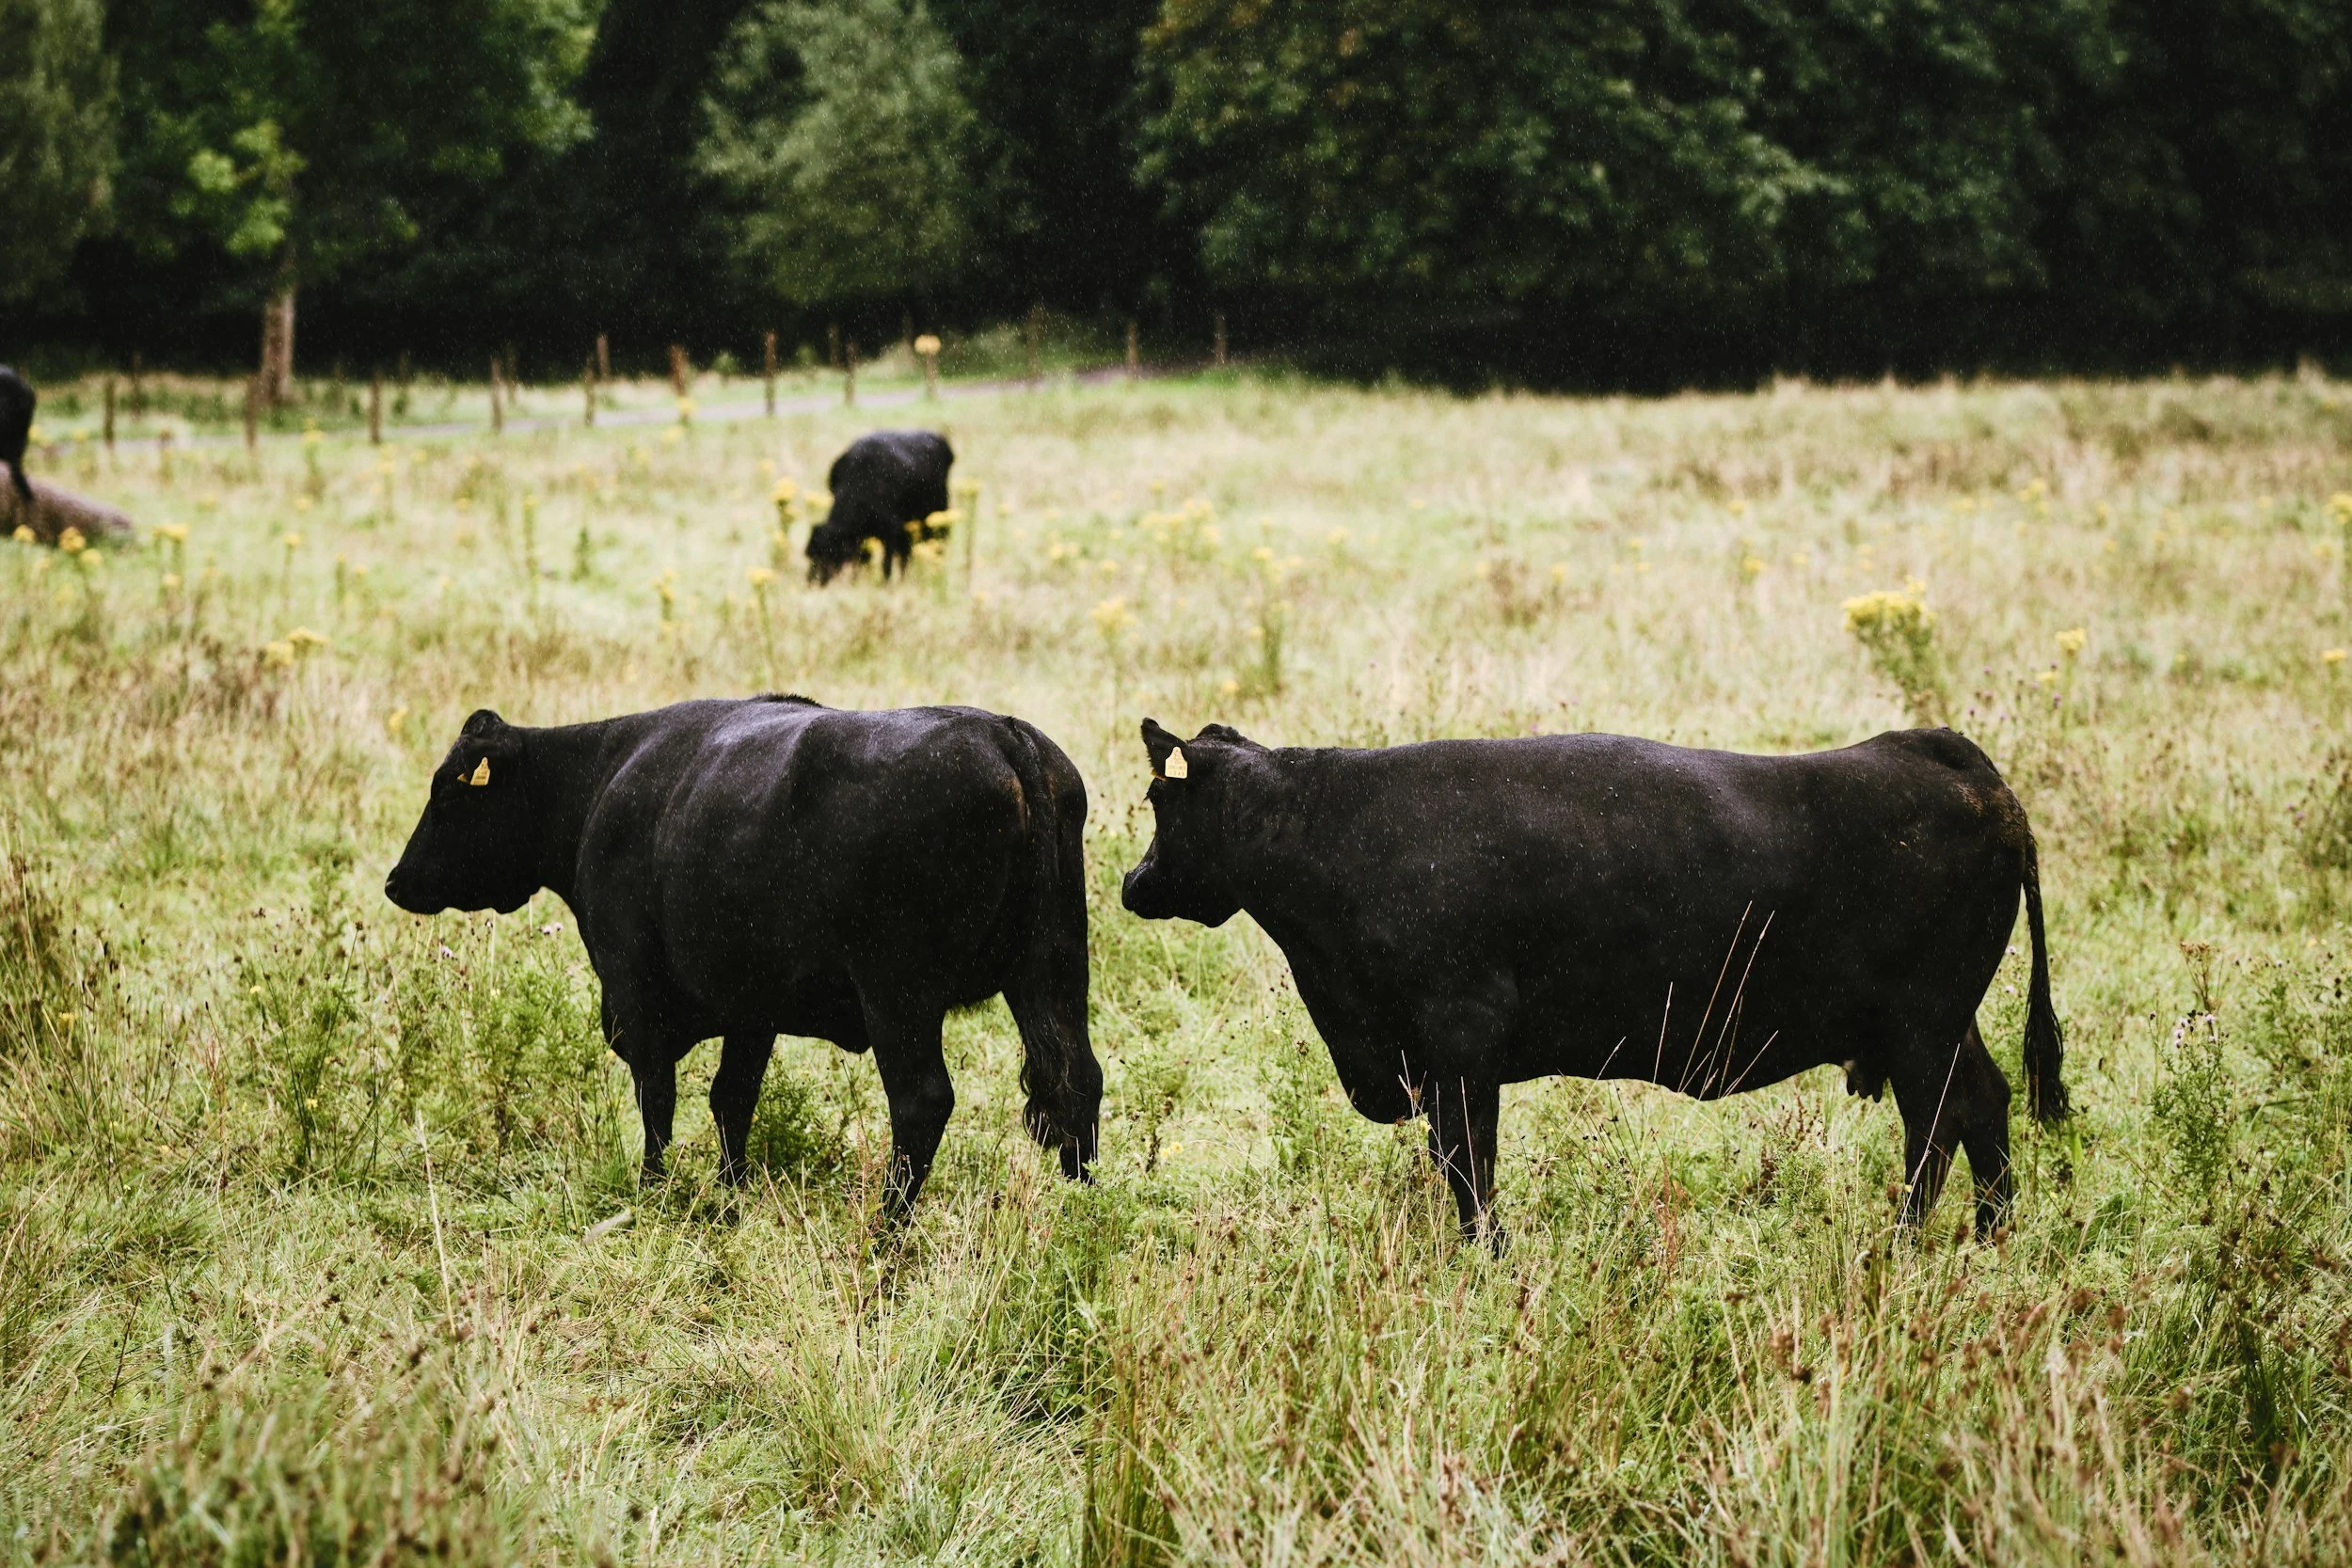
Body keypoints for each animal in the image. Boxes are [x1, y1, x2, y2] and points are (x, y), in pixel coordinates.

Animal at [384, 696, 1101, 1218]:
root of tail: (1003, 734)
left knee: (922, 1101)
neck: (600, 784)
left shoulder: (633, 990)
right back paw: (1083, 1210)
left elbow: (658, 1099)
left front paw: (653, 1192)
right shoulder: (753, 1008)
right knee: (1077, 1080)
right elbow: (731, 1098)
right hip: (1052, 969)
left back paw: (885, 1231)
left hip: (899, 992)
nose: (395, 880)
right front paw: (731, 1192)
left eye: (448, 792)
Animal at [804, 430, 953, 584]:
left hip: (936, 520)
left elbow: (886, 565)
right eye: (809, 554)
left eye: (830, 554)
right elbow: (862, 561)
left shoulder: (891, 532)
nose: (811, 581)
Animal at [1120, 720, 2065, 1245]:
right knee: (1985, 1105)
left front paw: (1488, 1258)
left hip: (1922, 1027)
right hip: (1941, 1024)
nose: (1131, 883)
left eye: (1160, 803)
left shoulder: (1461, 1043)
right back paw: (1989, 1238)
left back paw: (1903, 1245)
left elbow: (1469, 1165)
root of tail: (1942, 754)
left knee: (1937, 1126)